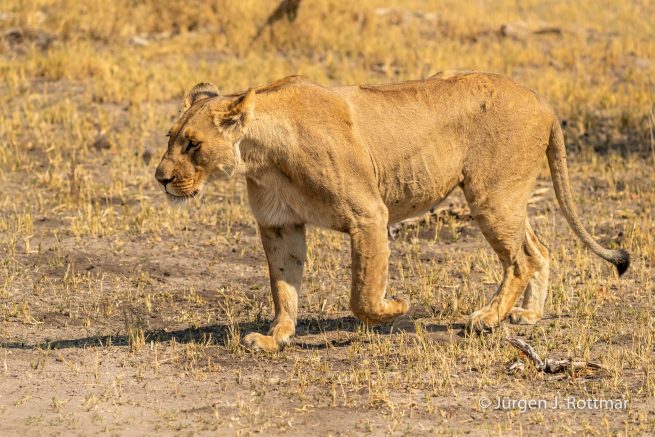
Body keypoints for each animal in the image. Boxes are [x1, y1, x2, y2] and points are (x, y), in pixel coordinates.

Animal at [155, 72, 629, 352]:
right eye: (169, 137)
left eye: (193, 143)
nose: (160, 177)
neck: (260, 155)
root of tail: (542, 101)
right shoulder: (279, 225)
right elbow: (284, 287)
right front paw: (276, 337)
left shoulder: (368, 215)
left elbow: (363, 293)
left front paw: (397, 307)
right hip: (506, 198)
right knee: (541, 249)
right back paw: (528, 315)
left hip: (491, 196)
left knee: (522, 259)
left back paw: (487, 318)